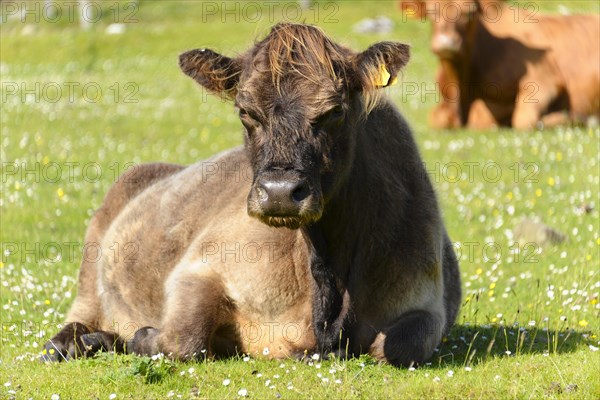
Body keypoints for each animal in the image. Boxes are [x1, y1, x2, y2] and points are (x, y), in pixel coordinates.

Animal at [42, 23, 462, 368]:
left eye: (334, 111)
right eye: (245, 111)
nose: (279, 193)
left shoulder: (428, 302)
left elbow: (398, 347)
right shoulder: (200, 265)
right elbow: (183, 340)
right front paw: (144, 336)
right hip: (92, 261)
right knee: (81, 313)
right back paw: (70, 343)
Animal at [400, 0, 600, 130]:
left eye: (470, 13)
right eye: (431, 11)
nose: (446, 43)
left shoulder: (544, 80)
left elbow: (520, 120)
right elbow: (437, 119)